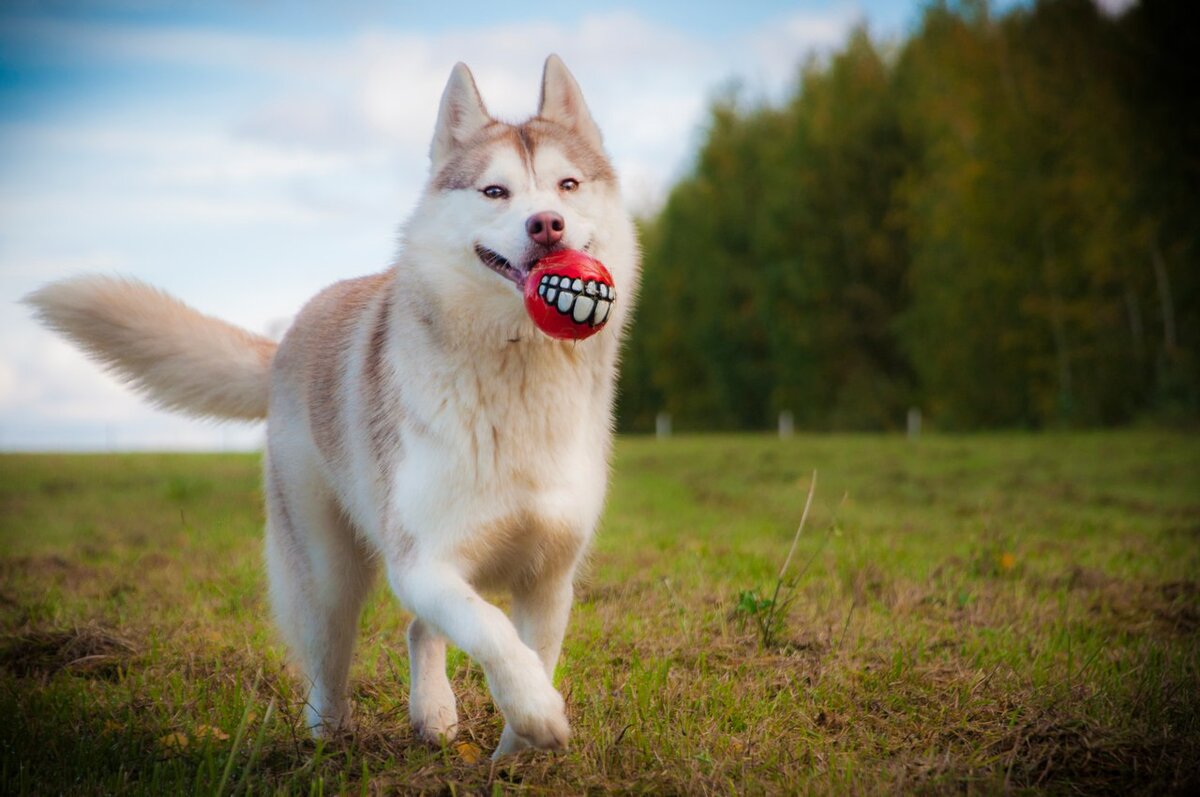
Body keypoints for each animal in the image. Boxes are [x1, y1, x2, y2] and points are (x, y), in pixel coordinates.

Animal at [25, 57, 638, 758]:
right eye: (494, 192)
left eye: (568, 185)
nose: (547, 224)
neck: (518, 366)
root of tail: (287, 340)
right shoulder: (420, 561)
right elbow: (490, 630)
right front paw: (537, 712)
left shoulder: (550, 573)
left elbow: (530, 648)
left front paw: (517, 753)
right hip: (327, 569)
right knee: (328, 655)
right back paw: (327, 737)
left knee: (418, 631)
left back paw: (433, 713)